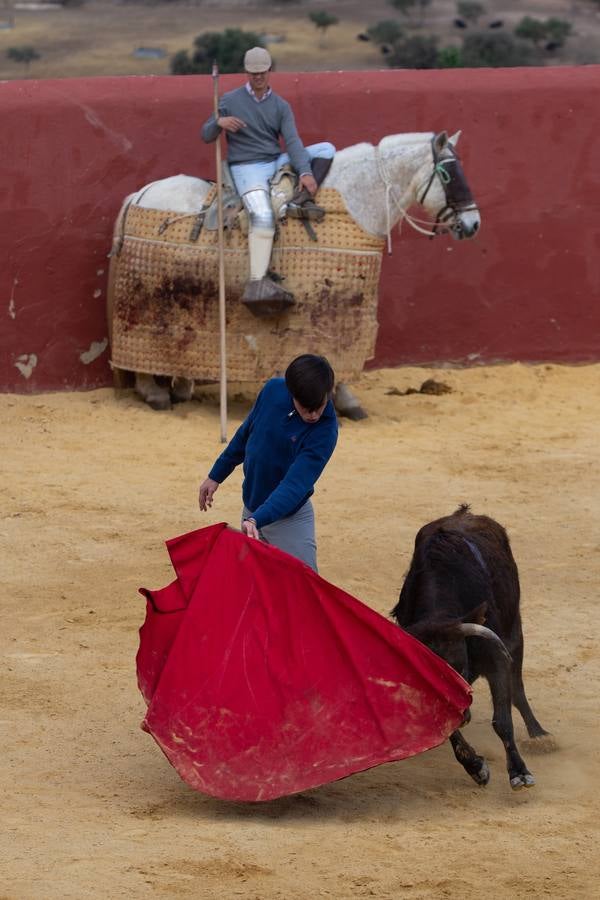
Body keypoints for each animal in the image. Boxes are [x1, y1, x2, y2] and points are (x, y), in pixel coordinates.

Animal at [110, 133, 480, 418]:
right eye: (448, 174)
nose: (473, 224)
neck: (352, 201)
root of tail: (140, 193)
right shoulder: (333, 311)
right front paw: (346, 400)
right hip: (150, 297)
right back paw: (154, 393)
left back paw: (181, 387)